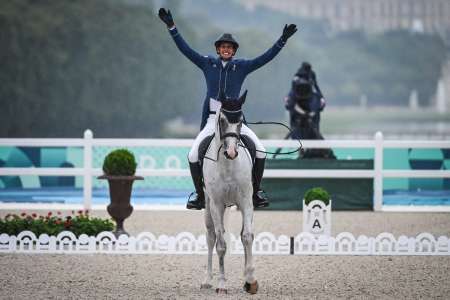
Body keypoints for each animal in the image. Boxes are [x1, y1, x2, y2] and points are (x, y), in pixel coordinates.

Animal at [200, 91, 256, 292]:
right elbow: (221, 245)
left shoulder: (247, 202)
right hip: (209, 207)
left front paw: (250, 280)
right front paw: (222, 284)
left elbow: (247, 236)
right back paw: (207, 280)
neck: (229, 165)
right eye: (222, 120)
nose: (232, 152)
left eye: (240, 121)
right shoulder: (216, 205)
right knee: (211, 238)